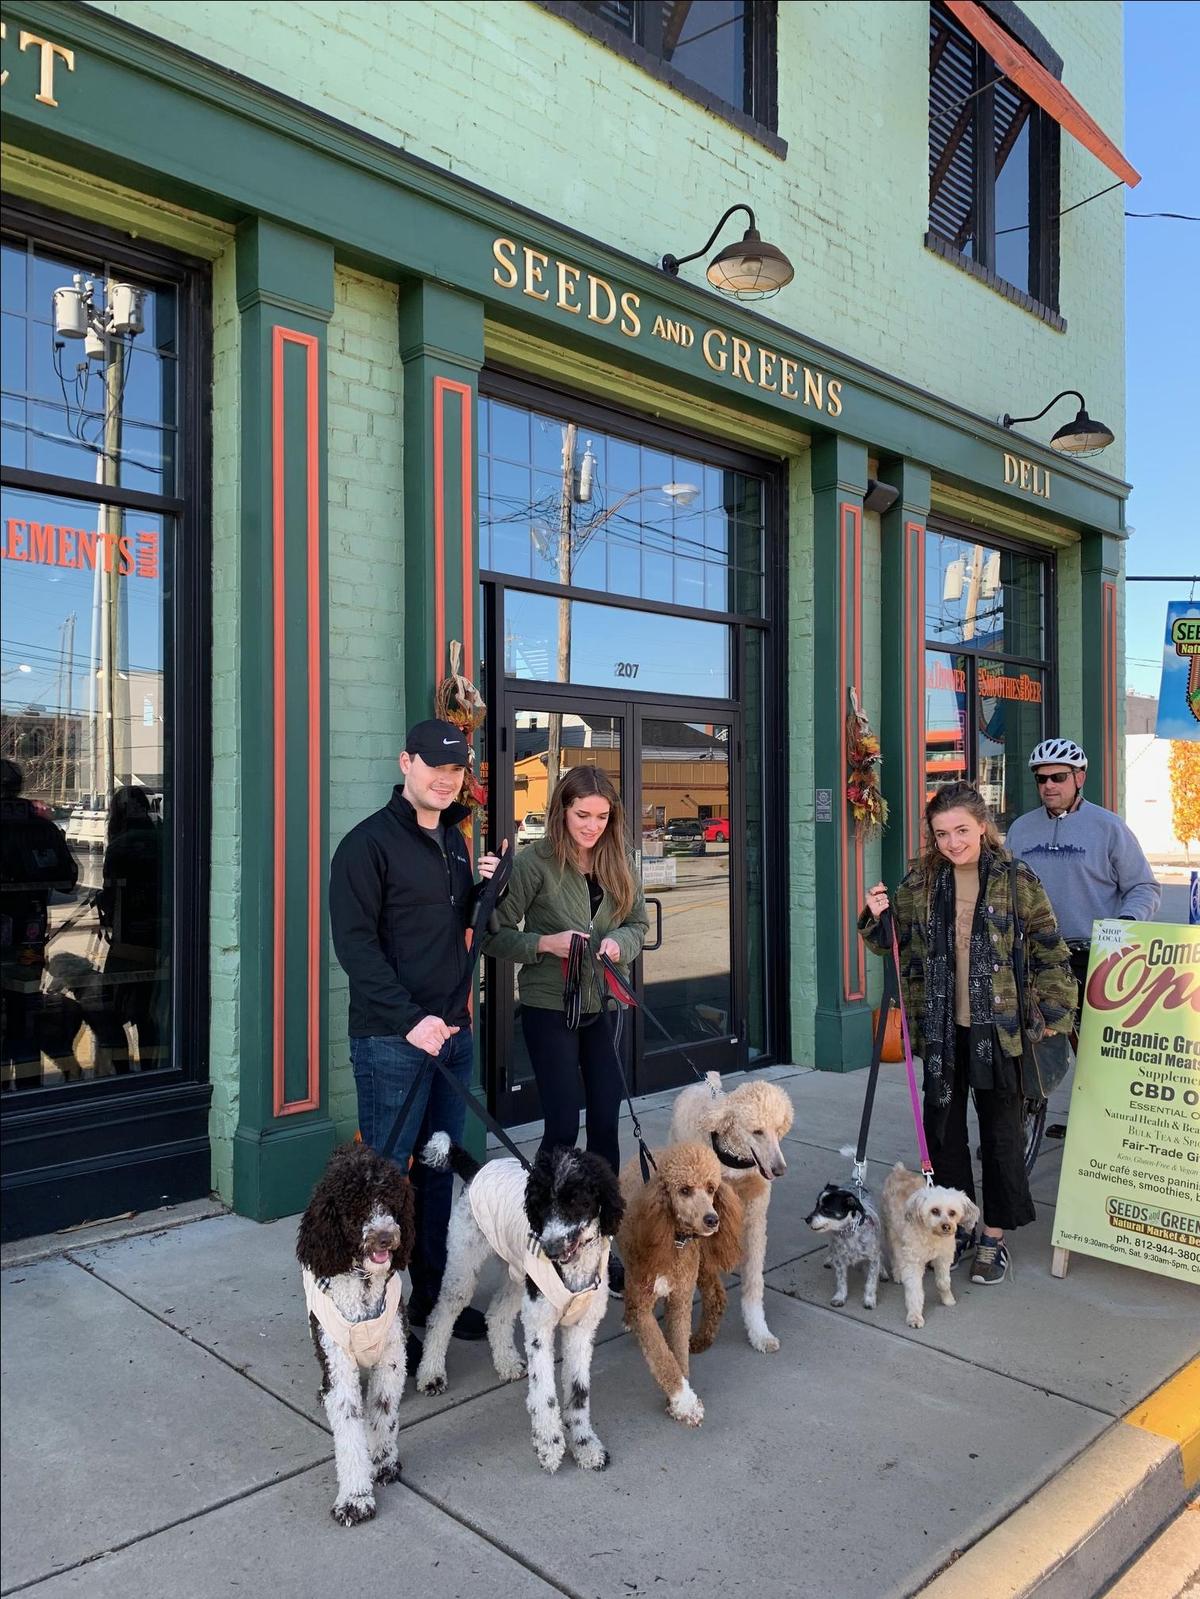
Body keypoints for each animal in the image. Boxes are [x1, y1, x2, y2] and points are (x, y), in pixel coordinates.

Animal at [876, 1170, 979, 1330]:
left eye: (952, 1212)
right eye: (934, 1210)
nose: (946, 1226)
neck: (932, 1236)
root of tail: (899, 1170)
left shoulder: (943, 1257)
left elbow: (943, 1282)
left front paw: (948, 1299)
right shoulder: (913, 1262)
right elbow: (915, 1291)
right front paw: (915, 1316)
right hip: (892, 1231)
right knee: (895, 1254)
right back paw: (898, 1273)